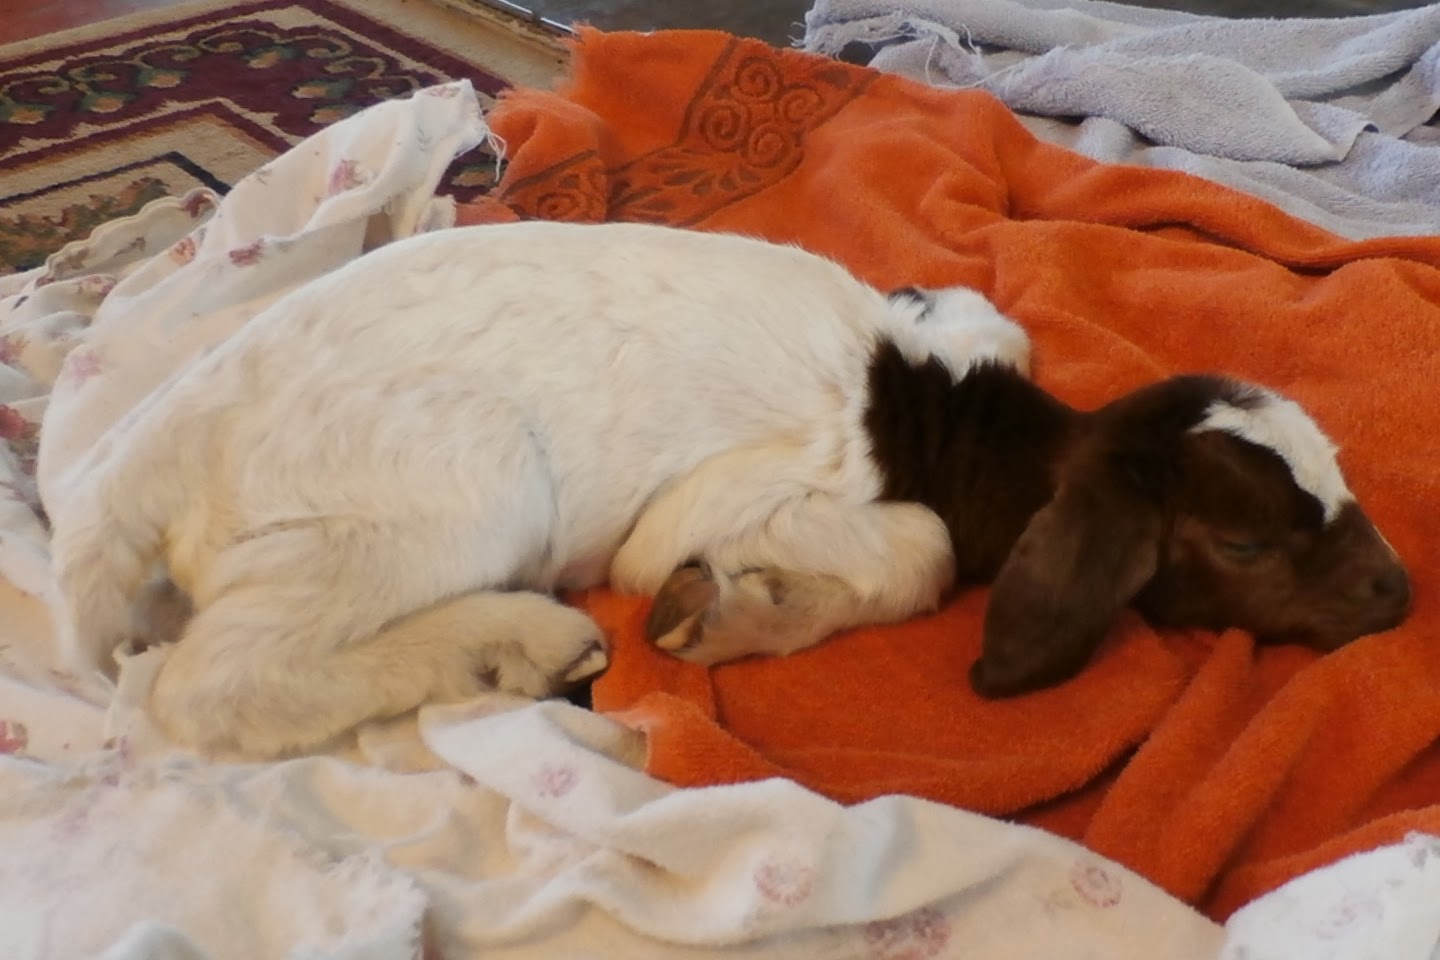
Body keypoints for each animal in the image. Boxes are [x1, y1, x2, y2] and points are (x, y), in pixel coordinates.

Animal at [45, 221, 1409, 758]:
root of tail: (143, 455)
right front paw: (748, 611)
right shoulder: (703, 512)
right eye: (1242, 546)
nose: (1399, 596)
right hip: (463, 485)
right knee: (217, 684)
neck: (946, 418)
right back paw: (517, 642)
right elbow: (915, 548)